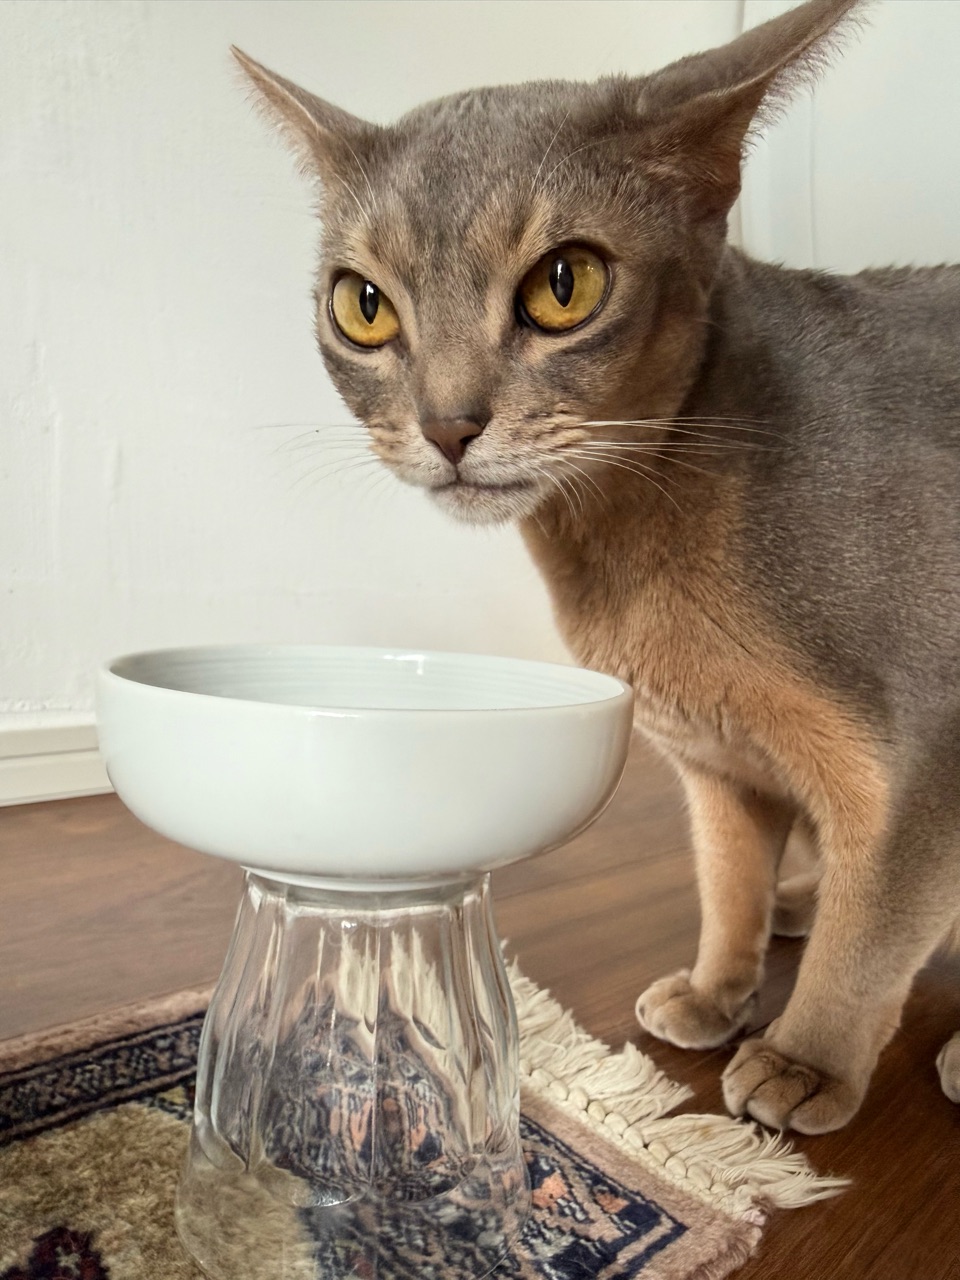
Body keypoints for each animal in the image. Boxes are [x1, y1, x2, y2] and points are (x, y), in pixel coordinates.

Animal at [232, 0, 960, 1135]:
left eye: (563, 285)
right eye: (362, 306)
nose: (447, 425)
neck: (623, 540)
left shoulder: (923, 757)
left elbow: (874, 933)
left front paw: (805, 1058)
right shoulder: (719, 765)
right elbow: (728, 885)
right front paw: (716, 989)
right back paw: (802, 903)